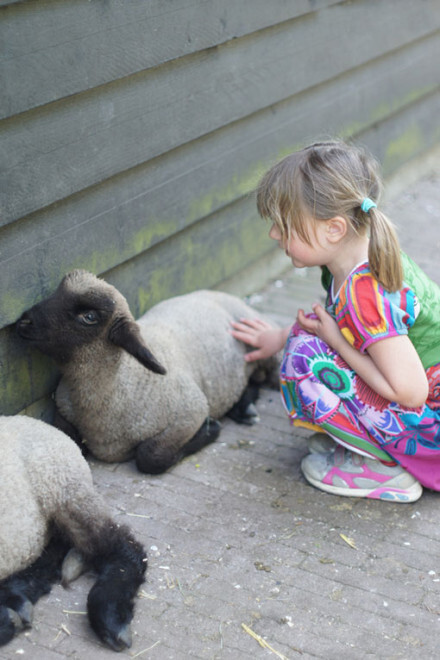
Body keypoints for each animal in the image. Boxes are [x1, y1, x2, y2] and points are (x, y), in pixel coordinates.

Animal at [18, 270, 278, 474]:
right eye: (56, 293)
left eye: (89, 316)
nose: (23, 322)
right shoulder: (62, 411)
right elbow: (74, 443)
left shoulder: (191, 411)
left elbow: (150, 457)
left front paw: (211, 429)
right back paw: (244, 408)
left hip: (268, 353)